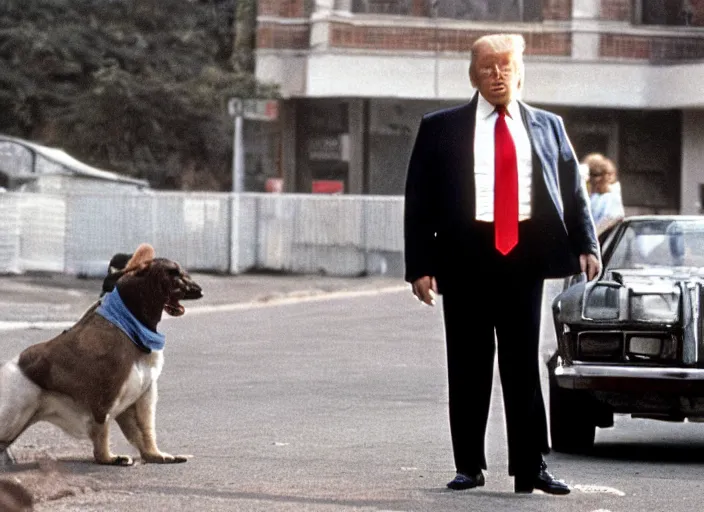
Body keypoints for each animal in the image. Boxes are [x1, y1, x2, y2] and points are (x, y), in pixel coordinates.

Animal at [0, 242, 204, 466]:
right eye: (173, 273)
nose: (199, 290)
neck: (130, 325)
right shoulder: (106, 396)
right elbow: (102, 432)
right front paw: (108, 458)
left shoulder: (141, 397)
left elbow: (144, 432)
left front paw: (155, 455)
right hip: (15, 415)